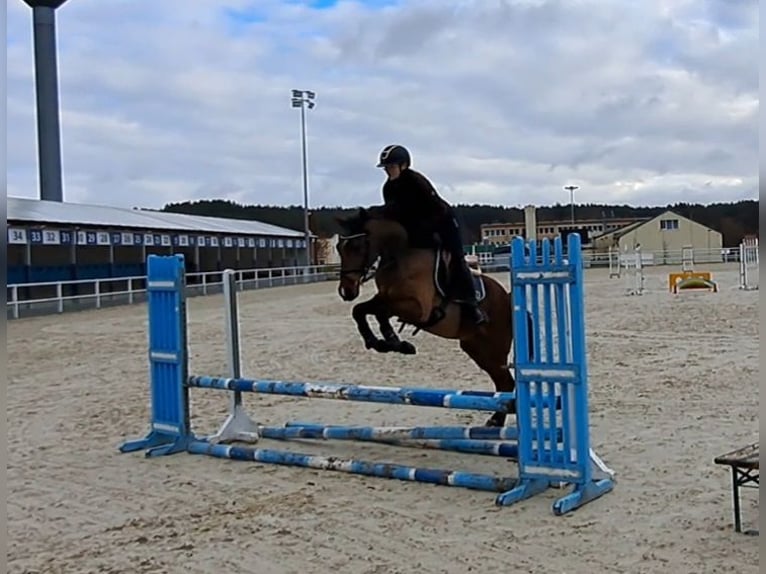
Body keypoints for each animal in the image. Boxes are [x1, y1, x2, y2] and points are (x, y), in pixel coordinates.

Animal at [336, 207, 528, 428]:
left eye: (357, 247)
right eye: (339, 248)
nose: (346, 291)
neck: (399, 257)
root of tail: (507, 298)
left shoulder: (417, 309)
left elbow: (379, 313)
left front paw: (393, 342)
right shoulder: (384, 299)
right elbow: (360, 310)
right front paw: (384, 343)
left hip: (494, 348)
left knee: (505, 381)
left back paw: (497, 419)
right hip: (476, 348)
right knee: (502, 382)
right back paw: (496, 420)